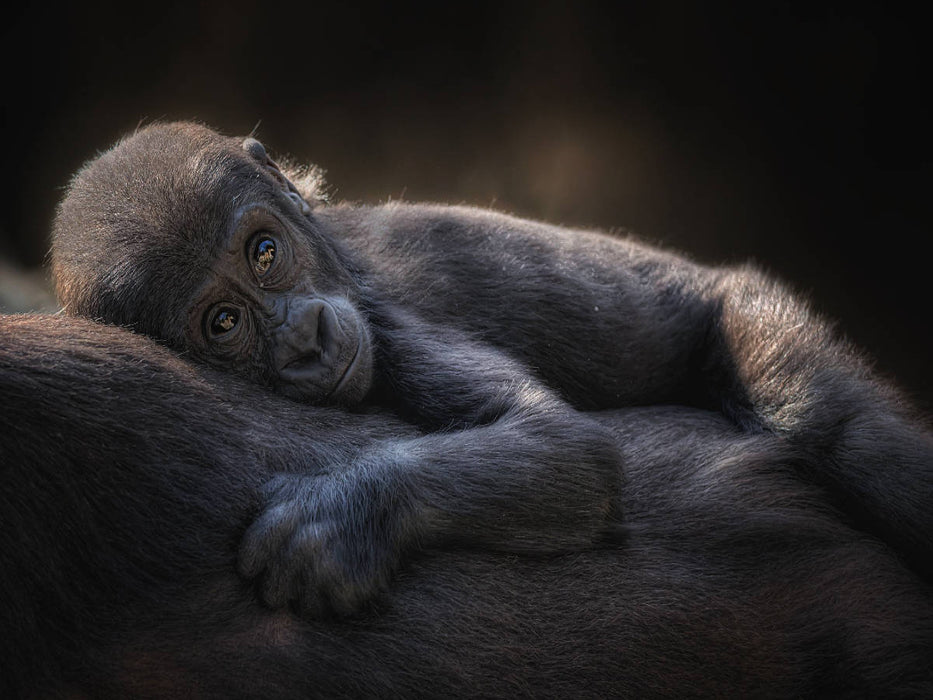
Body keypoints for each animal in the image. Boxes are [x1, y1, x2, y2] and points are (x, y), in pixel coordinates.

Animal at [50, 122, 933, 614]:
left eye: (264, 252)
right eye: (223, 323)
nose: (304, 338)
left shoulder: (386, 324)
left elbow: (560, 446)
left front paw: (348, 515)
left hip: (747, 305)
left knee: (832, 429)